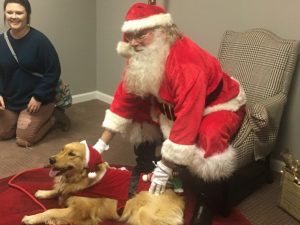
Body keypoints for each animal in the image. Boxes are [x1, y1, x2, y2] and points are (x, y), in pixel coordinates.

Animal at [21, 142, 185, 225]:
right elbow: (57, 190)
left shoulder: (80, 211)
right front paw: (43, 193)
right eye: (62, 149)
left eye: (72, 154)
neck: (80, 179)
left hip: (143, 213)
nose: (51, 160)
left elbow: (52, 211)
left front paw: (32, 218)